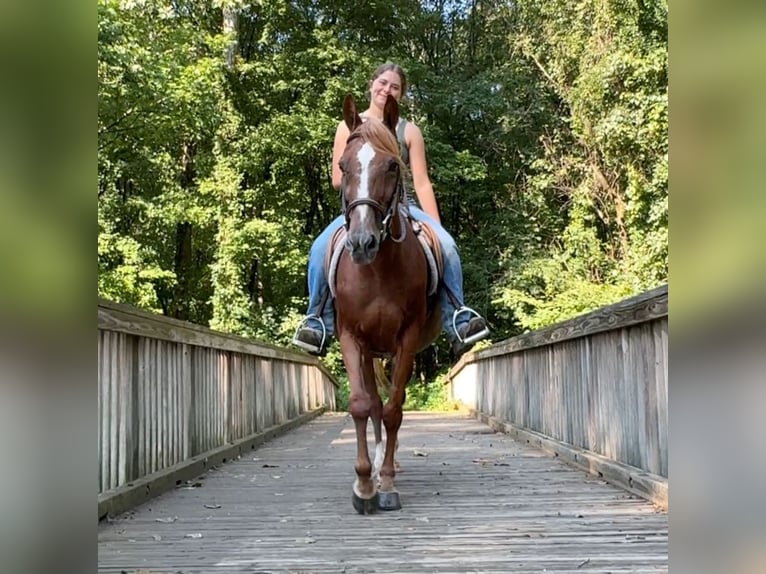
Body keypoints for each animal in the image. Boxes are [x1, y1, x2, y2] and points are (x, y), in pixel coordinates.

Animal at [332, 95, 440, 516]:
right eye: (343, 166)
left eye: (393, 166)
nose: (362, 242)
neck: (377, 270)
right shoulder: (351, 337)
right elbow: (362, 405)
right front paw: (364, 484)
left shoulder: (406, 340)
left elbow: (395, 409)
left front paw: (389, 484)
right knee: (373, 406)